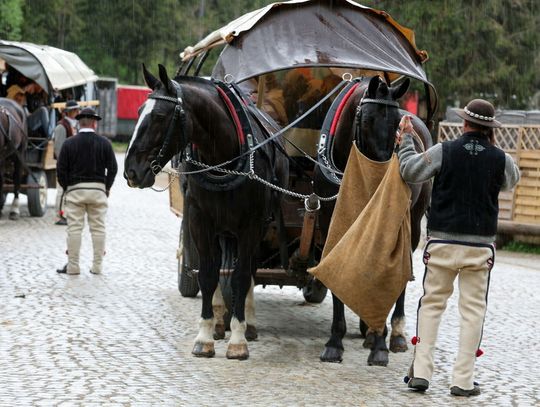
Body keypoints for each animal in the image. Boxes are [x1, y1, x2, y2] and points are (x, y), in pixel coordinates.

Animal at [314, 75, 432, 366]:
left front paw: (380, 344)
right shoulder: (330, 220)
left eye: (398, 123)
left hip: (412, 221)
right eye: (366, 120)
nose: (385, 180)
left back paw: (395, 333)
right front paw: (335, 342)